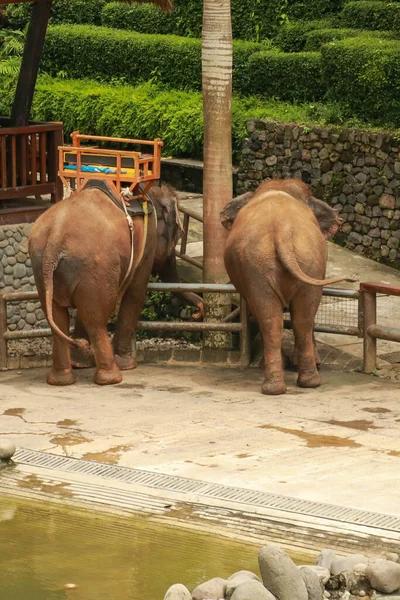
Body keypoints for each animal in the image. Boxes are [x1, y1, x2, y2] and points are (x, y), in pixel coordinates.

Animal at [28, 180, 158, 386]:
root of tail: (54, 240)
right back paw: (112, 379)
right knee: (96, 320)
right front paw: (127, 365)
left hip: (43, 268)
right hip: (94, 264)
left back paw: (62, 380)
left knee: (59, 318)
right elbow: (136, 291)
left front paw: (82, 362)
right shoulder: (148, 238)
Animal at [222, 178, 354, 394]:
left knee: (278, 320)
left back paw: (281, 384)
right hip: (297, 261)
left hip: (279, 263)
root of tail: (282, 232)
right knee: (299, 319)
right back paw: (302, 383)